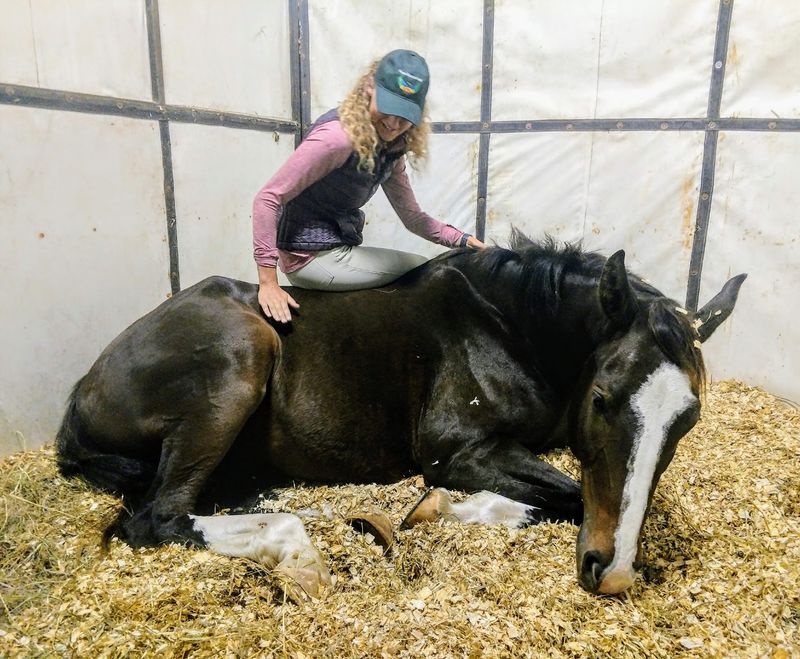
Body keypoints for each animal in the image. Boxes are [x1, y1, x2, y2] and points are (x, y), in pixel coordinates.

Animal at [55, 231, 745, 596]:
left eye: (687, 422)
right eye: (602, 397)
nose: (615, 572)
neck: (510, 327)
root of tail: (83, 391)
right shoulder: (457, 451)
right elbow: (568, 493)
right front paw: (433, 510)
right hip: (242, 356)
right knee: (159, 518)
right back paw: (299, 549)